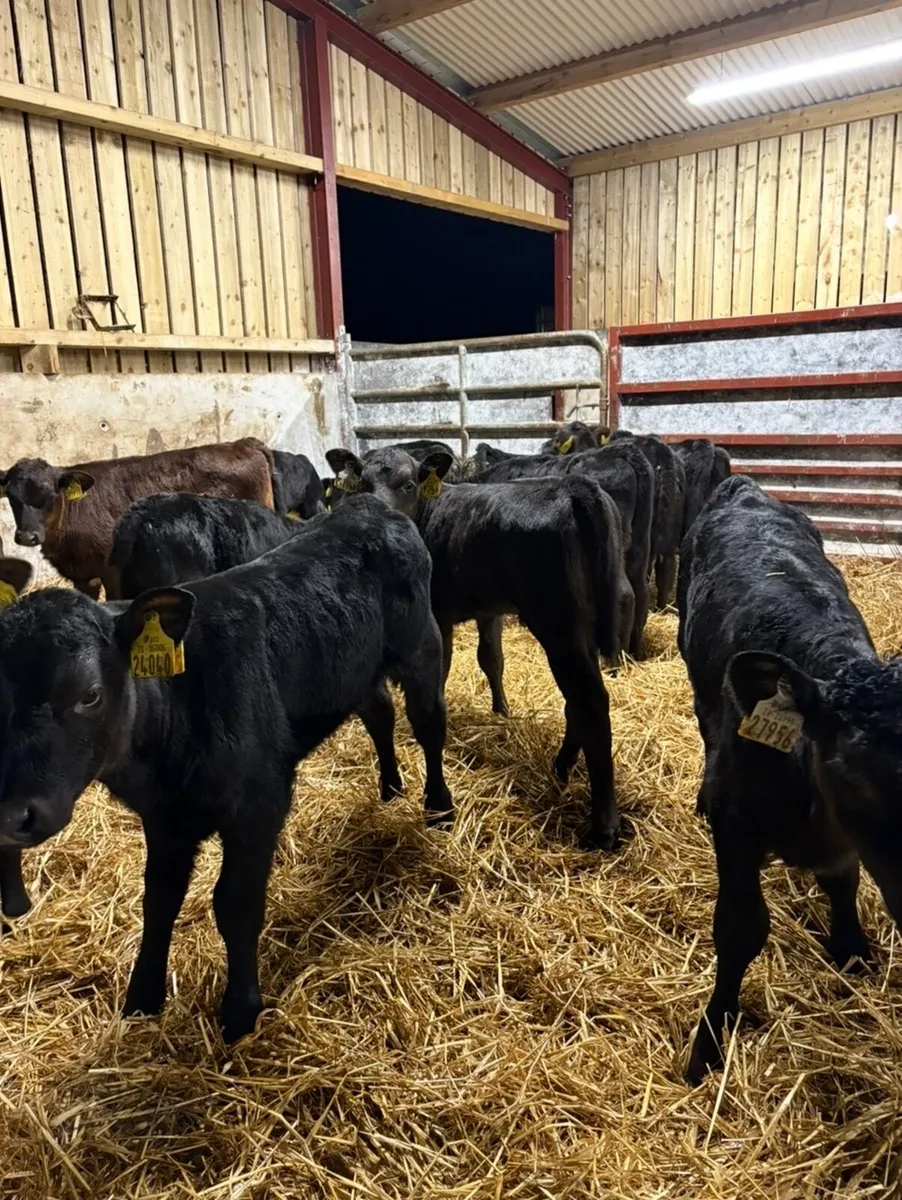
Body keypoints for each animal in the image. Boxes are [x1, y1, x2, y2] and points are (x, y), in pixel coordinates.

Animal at [0, 438, 275, 599]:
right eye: (11, 497)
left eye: (50, 495)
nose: (26, 536)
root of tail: (241, 443)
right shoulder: (82, 578)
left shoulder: (112, 572)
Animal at [0, 495, 451, 1041]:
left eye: (89, 694)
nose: (14, 816)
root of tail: (369, 504)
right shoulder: (165, 817)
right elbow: (159, 897)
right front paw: (142, 997)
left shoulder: (258, 803)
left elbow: (235, 904)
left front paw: (240, 1011)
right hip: (356, 668)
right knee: (380, 711)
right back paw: (389, 788)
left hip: (422, 645)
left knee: (429, 724)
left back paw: (439, 808)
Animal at [326, 444, 627, 850]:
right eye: (362, 483)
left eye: (408, 485)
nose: (379, 521)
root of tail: (575, 486)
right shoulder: (489, 610)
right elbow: (492, 659)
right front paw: (501, 712)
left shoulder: (436, 613)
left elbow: (442, 672)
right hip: (581, 625)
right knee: (578, 700)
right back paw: (561, 766)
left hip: (558, 621)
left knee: (591, 701)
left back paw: (603, 826)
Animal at [678, 475, 902, 1084]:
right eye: (849, 774)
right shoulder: (736, 827)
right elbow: (741, 928)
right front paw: (708, 1044)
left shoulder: (841, 844)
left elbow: (843, 880)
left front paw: (851, 946)